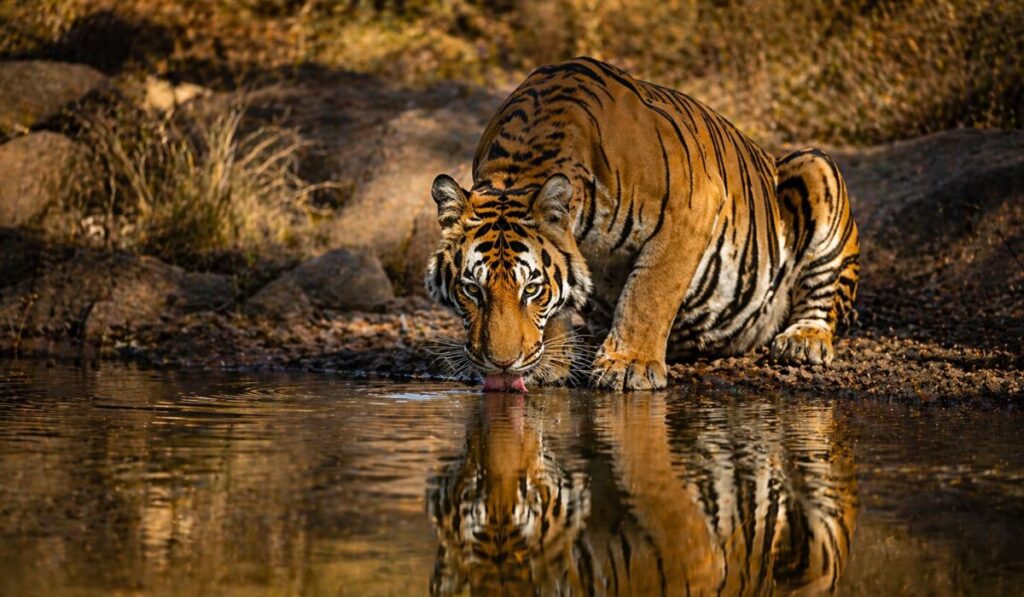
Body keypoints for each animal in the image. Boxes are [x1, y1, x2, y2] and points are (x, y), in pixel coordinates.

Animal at [425, 57, 860, 391]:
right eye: (472, 289)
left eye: (530, 289)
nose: (501, 364)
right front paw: (551, 365)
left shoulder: (691, 210)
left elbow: (648, 293)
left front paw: (627, 365)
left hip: (816, 166)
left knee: (824, 296)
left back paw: (802, 341)